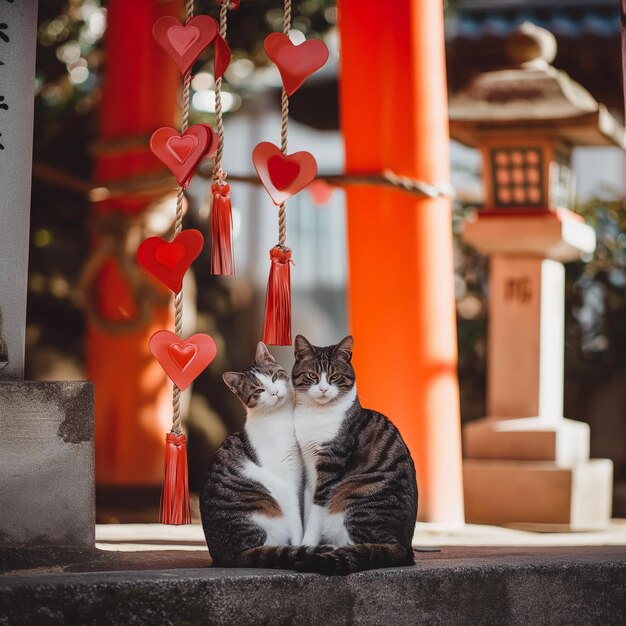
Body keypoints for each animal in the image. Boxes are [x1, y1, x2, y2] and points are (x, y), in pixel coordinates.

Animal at [200, 338, 330, 568]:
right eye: (259, 390)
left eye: (275, 377)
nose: (274, 392)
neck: (281, 418)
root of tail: (229, 556)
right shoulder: (286, 484)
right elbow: (296, 522)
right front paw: (301, 545)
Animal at [290, 334, 416, 572]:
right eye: (312, 375)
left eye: (334, 376)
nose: (323, 389)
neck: (316, 415)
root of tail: (405, 546)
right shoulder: (310, 468)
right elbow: (308, 508)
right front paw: (305, 543)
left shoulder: (330, 465)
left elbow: (317, 511)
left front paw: (307, 546)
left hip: (353, 496)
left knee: (367, 545)